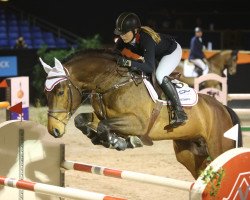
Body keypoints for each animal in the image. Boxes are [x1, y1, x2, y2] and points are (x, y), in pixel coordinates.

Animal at [41, 48, 242, 180]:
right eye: (45, 93)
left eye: (60, 92)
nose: (54, 130)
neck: (112, 82)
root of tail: (223, 108)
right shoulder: (103, 116)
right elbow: (81, 120)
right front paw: (97, 136)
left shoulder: (137, 123)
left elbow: (104, 126)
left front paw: (120, 142)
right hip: (190, 152)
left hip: (219, 148)